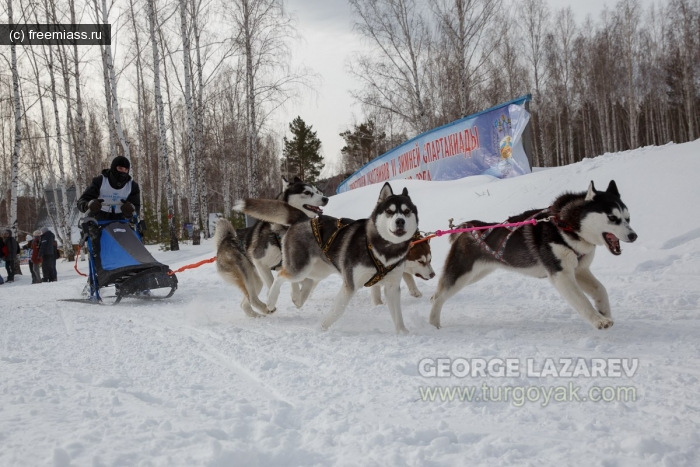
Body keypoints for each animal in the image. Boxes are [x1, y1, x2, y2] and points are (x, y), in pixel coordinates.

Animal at [213, 178, 328, 318]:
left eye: (317, 191)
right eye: (307, 192)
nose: (325, 199)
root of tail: (225, 239)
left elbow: (307, 282)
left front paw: (297, 298)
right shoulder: (259, 261)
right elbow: (273, 282)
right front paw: (272, 298)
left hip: (256, 280)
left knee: (245, 303)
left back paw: (259, 315)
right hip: (246, 272)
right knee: (252, 298)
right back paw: (266, 308)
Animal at [238, 183, 418, 332]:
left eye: (407, 211)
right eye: (389, 211)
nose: (400, 221)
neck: (383, 249)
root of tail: (303, 218)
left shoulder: (392, 287)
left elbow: (398, 316)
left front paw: (403, 333)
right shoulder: (350, 285)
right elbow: (337, 310)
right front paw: (321, 328)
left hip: (318, 270)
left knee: (303, 281)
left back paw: (297, 298)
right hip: (300, 268)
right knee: (281, 276)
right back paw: (271, 300)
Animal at [430, 181, 636, 330]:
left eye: (628, 218)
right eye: (612, 218)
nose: (634, 236)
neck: (565, 225)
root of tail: (467, 228)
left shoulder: (580, 270)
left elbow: (600, 289)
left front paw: (604, 311)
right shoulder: (561, 275)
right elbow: (581, 300)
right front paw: (599, 320)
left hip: (474, 276)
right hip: (460, 276)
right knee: (438, 296)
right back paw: (433, 324)